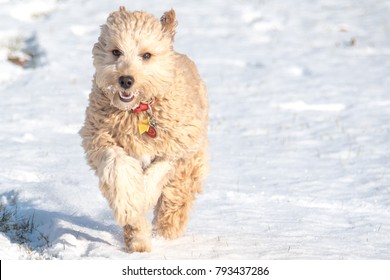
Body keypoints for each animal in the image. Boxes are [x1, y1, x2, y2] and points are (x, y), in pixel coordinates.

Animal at [78, 6, 209, 253]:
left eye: (146, 55)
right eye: (116, 51)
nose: (125, 80)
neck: (137, 111)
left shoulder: (179, 145)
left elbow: (159, 171)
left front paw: (144, 195)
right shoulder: (101, 139)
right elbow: (118, 167)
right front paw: (129, 204)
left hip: (192, 161)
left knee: (176, 196)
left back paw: (167, 228)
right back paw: (138, 241)